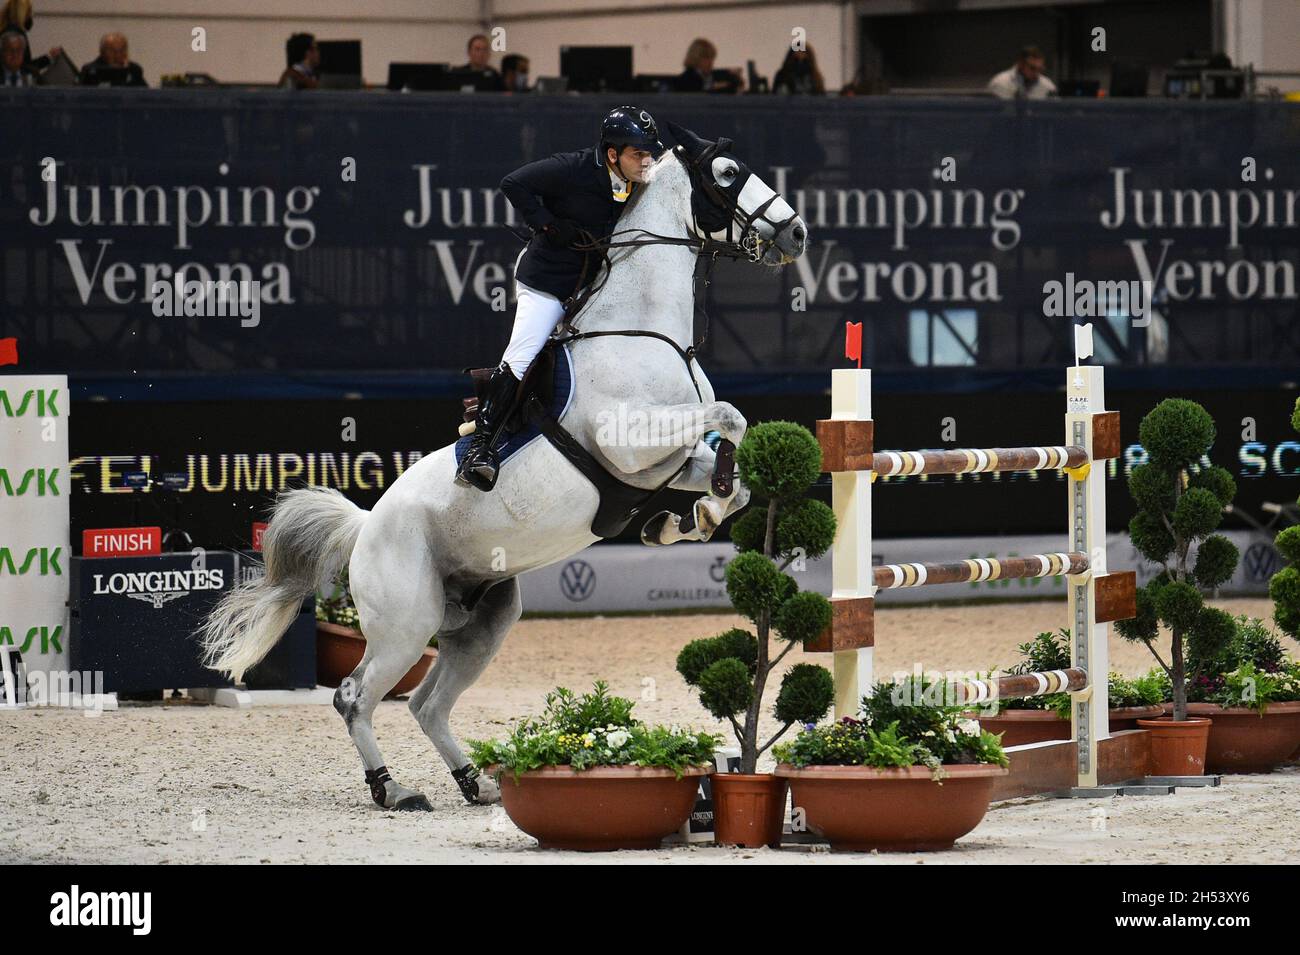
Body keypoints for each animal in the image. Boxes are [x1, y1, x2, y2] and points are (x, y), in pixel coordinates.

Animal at [197, 123, 806, 810]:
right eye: (727, 172)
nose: (796, 234)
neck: (643, 332)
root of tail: (365, 526)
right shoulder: (627, 445)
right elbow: (731, 416)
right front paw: (692, 515)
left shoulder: (664, 462)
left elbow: (733, 467)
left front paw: (685, 521)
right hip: (405, 623)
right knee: (355, 697)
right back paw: (393, 789)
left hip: (482, 623)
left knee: (427, 704)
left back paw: (474, 782)